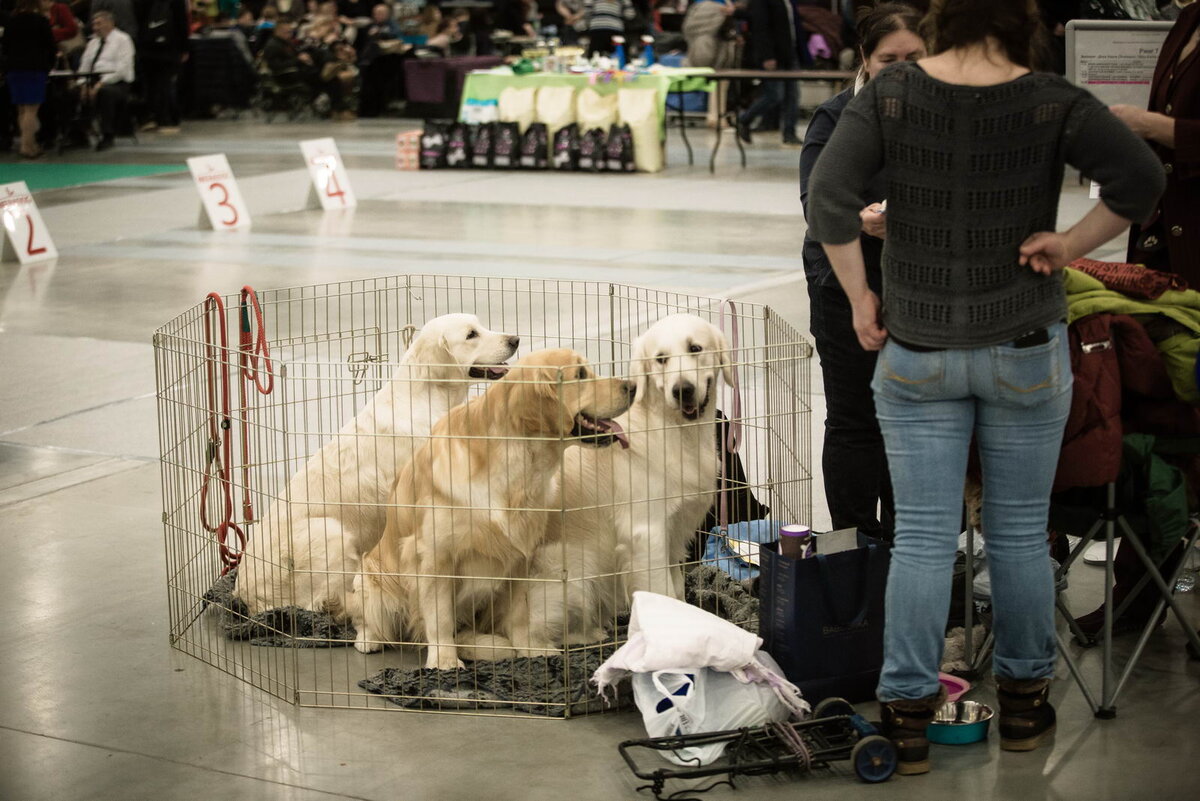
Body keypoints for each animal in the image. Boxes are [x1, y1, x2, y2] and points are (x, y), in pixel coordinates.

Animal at [231, 314, 518, 618]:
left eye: (481, 325)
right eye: (471, 335)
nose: (515, 340)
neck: (426, 397)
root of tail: (245, 595)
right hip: (329, 532)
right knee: (320, 602)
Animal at [350, 347, 633, 666]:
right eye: (581, 375)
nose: (633, 386)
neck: (517, 464)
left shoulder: (522, 553)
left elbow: (521, 613)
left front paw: (531, 649)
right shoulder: (435, 555)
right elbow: (440, 617)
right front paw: (444, 660)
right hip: (369, 579)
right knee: (368, 620)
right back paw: (370, 640)